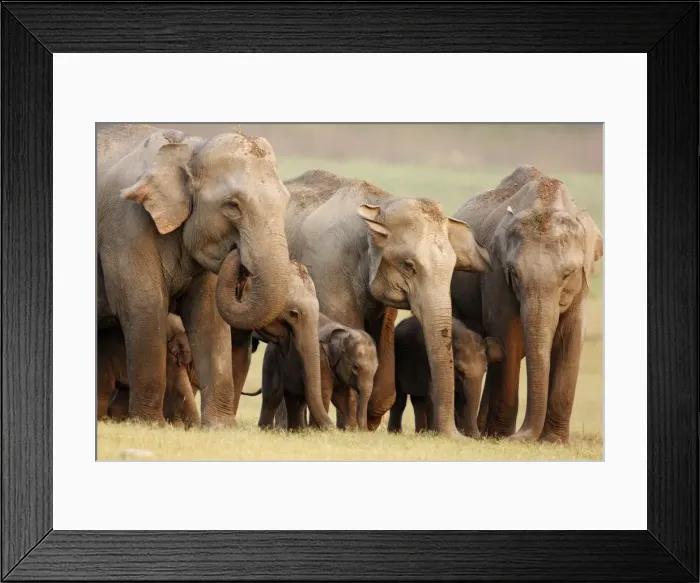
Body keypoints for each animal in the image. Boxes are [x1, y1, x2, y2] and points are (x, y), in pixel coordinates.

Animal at [97, 124, 292, 427]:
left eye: (286, 202)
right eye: (232, 205)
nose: (237, 254)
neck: (189, 147)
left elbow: (208, 316)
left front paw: (220, 427)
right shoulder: (126, 227)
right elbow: (144, 306)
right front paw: (150, 425)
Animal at [245, 313, 379, 431]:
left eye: (376, 368)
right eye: (355, 368)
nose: (363, 430)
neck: (345, 332)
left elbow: (344, 396)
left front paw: (350, 430)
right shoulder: (321, 360)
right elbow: (324, 392)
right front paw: (319, 431)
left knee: (296, 401)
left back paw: (298, 432)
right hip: (272, 361)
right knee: (272, 397)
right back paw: (266, 430)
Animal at [282, 170, 492, 438]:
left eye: (453, 268)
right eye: (409, 266)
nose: (454, 436)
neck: (380, 205)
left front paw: (370, 422)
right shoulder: (327, 268)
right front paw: (353, 427)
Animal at [450, 165, 603, 442]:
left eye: (568, 274)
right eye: (514, 273)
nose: (521, 436)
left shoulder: (582, 286)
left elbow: (572, 337)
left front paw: (554, 442)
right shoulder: (496, 274)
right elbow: (507, 336)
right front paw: (501, 436)